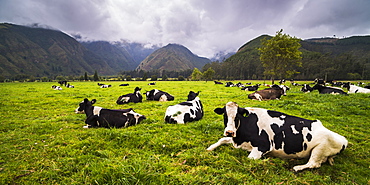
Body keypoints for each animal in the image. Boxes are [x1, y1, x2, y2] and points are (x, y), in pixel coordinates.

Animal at [207, 102, 348, 171]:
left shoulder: (263, 146)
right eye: (225, 115)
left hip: (319, 148)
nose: (230, 131)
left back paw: (297, 168)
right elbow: (221, 139)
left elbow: (249, 159)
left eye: (237, 116)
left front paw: (267, 160)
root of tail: (343, 139)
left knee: (314, 164)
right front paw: (209, 148)